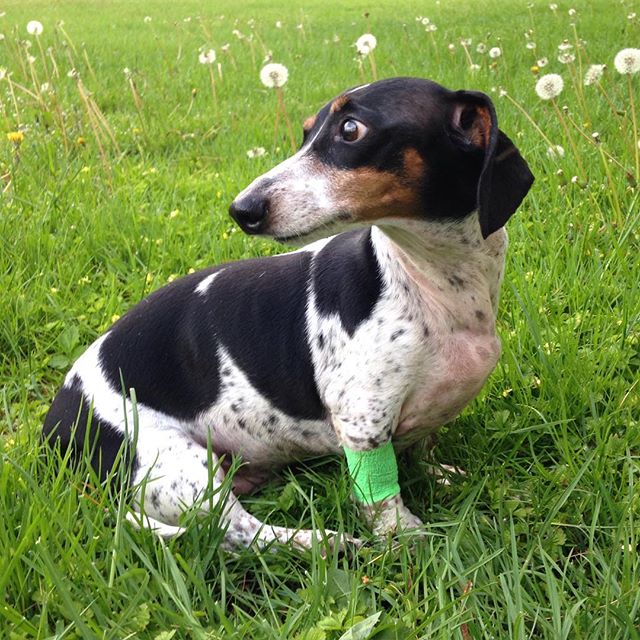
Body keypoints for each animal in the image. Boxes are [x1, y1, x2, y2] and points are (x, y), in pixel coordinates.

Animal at [42, 77, 532, 552]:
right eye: (306, 131)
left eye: (350, 129)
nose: (242, 209)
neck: (430, 284)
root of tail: (52, 435)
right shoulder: (362, 422)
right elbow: (383, 498)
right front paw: (403, 536)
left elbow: (420, 450)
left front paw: (439, 475)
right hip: (181, 467)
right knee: (235, 533)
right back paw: (323, 543)